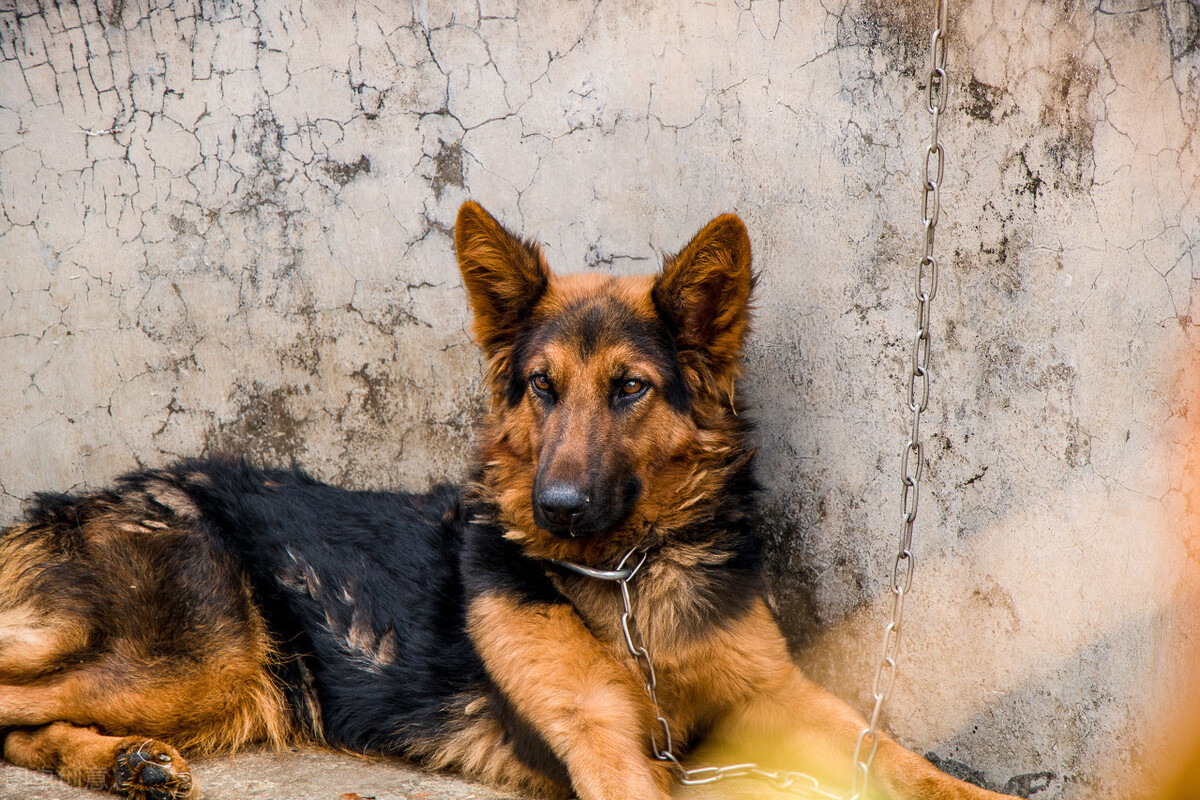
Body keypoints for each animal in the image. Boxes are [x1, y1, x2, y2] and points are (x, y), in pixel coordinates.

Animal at [0, 205, 1017, 800]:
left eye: (630, 388)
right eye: (540, 386)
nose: (558, 505)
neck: (625, 577)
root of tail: (91, 498)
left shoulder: (781, 695)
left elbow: (900, 757)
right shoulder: (604, 743)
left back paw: (123, 764)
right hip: (202, 656)